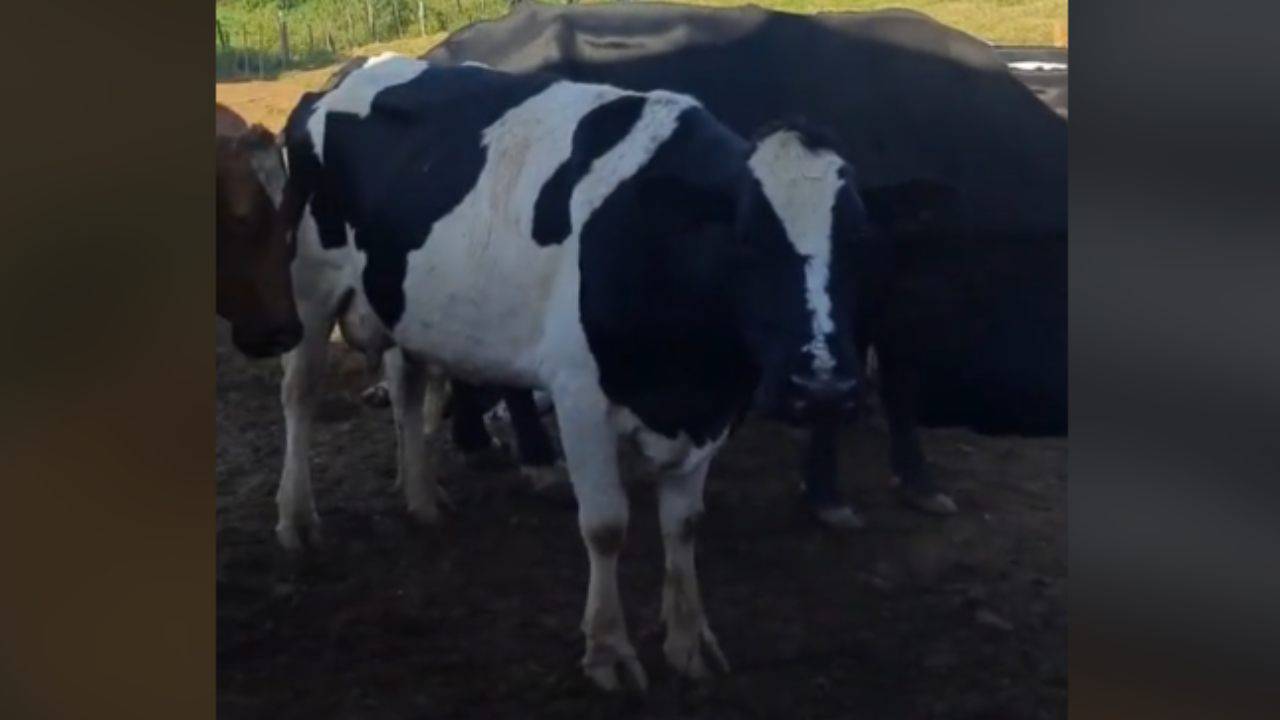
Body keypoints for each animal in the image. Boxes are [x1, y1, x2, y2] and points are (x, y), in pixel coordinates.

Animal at [255, 53, 883, 688]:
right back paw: (298, 519)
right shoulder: (580, 396)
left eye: (859, 240)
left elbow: (684, 525)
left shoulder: (708, 411)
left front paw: (689, 640)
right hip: (306, 290)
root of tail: (344, 76)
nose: (824, 389)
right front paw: (609, 650)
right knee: (299, 397)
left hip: (397, 300)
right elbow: (605, 525)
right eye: (747, 237)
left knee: (407, 391)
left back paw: (422, 498)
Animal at [423, 2, 1068, 528]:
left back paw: (476, 440)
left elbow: (897, 381)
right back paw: (534, 459)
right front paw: (828, 493)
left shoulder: (894, 291)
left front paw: (916, 482)